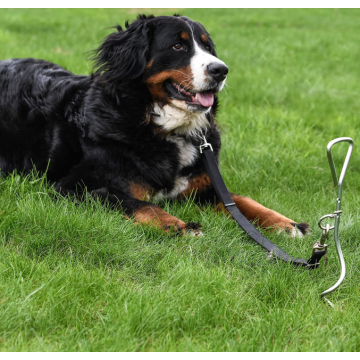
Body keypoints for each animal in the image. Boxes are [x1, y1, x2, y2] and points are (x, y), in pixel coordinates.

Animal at [0, 14, 310, 236]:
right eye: (178, 45)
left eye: (207, 47)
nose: (221, 70)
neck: (164, 129)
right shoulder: (74, 186)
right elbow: (136, 203)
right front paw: (178, 226)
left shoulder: (203, 186)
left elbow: (242, 201)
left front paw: (286, 223)